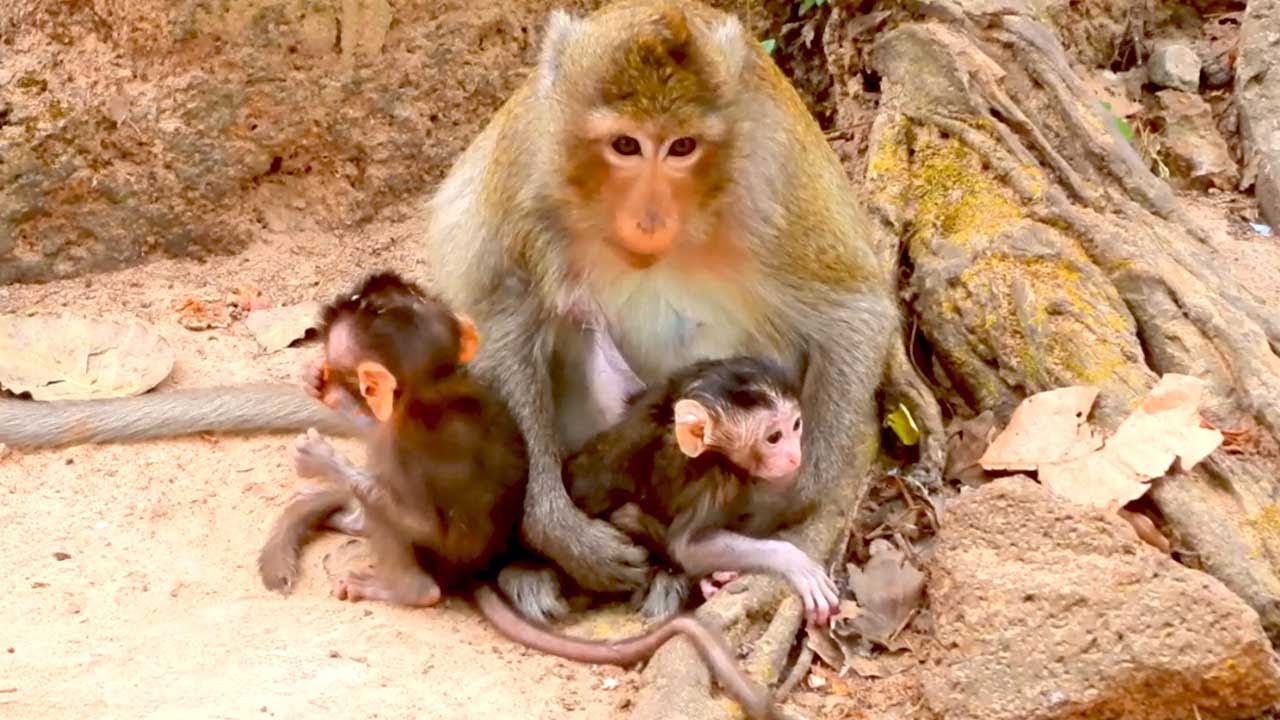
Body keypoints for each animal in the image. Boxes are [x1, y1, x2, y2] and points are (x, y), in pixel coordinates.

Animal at [564, 355, 840, 625]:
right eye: (774, 437)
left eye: (796, 425)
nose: (795, 455)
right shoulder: (714, 480)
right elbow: (689, 547)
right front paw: (795, 562)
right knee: (629, 515)